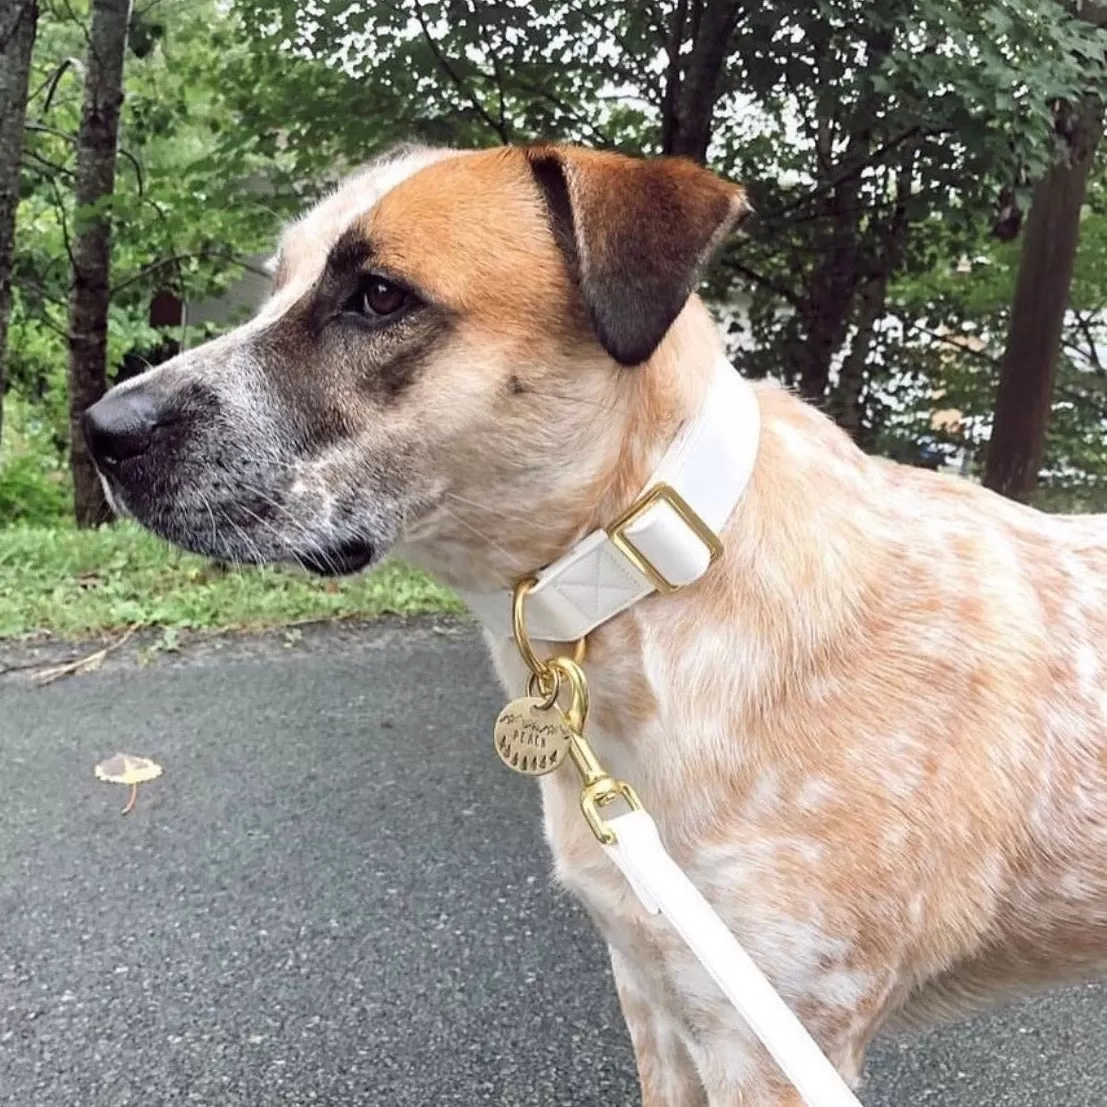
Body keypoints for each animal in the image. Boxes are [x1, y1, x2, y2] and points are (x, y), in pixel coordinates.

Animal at [84, 142, 1107, 1102]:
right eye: (275, 284)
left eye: (377, 296)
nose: (101, 431)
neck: (651, 585)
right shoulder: (656, 992)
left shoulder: (772, 1044)